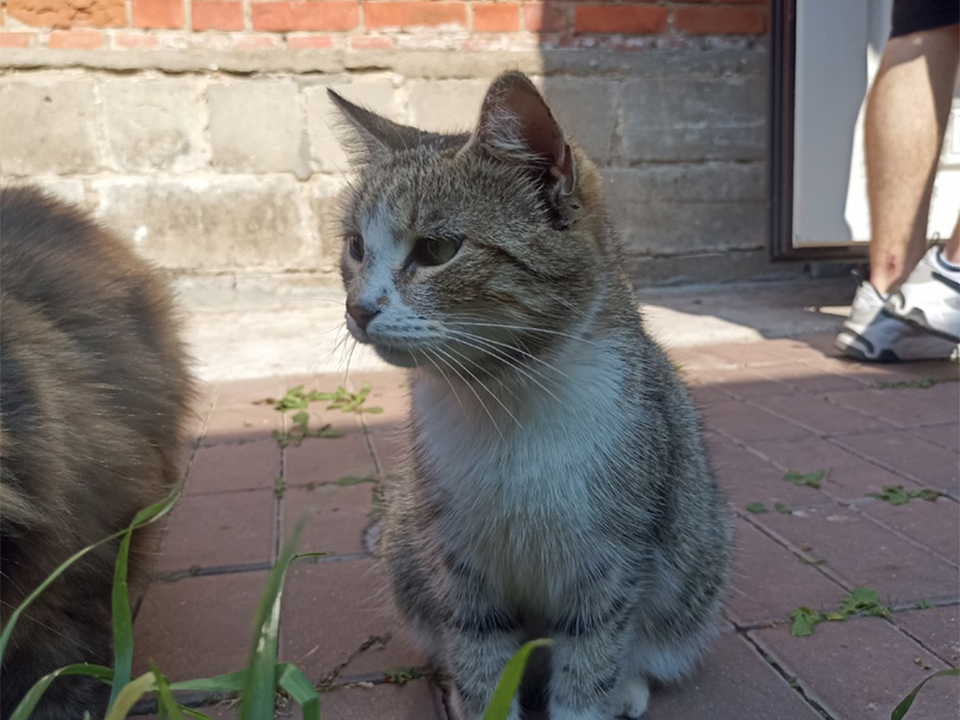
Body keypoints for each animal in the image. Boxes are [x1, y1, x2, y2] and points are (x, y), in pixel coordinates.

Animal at [334, 74, 732, 720]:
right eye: (354, 246)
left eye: (437, 250)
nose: (358, 308)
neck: (506, 402)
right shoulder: (459, 562)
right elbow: (480, 656)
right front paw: (476, 696)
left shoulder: (612, 562)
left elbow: (591, 661)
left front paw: (597, 695)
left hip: (695, 563)